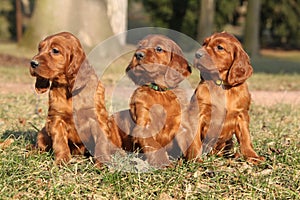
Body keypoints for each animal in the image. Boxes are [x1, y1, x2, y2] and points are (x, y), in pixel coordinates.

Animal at [29, 32, 120, 165]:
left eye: (55, 50)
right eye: (39, 48)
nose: (32, 63)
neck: (70, 89)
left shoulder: (98, 118)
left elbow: (101, 142)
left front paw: (102, 163)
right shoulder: (57, 119)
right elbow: (60, 142)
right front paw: (62, 161)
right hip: (43, 132)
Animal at [125, 34, 198, 167]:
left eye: (159, 48)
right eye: (140, 46)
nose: (138, 54)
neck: (159, 91)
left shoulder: (183, 127)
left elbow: (192, 146)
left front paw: (199, 163)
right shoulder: (144, 127)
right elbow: (156, 148)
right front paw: (165, 164)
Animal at [190, 31, 264, 164]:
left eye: (220, 47)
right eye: (204, 43)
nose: (197, 54)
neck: (221, 84)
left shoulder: (242, 115)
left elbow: (246, 138)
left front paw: (253, 156)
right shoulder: (198, 113)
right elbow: (195, 139)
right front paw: (195, 159)